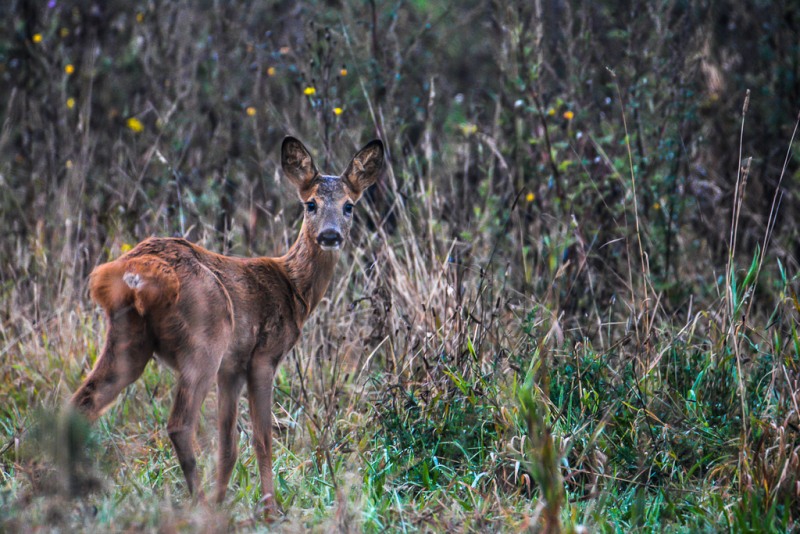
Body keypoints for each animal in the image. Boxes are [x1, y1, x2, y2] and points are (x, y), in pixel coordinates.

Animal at [70, 137, 382, 516]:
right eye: (311, 204)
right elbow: (262, 437)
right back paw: (199, 503)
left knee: (82, 403)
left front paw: (225, 502)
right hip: (206, 339)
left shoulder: (231, 368)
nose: (331, 235)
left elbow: (228, 443)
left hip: (129, 340)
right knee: (179, 424)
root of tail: (134, 269)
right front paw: (269, 509)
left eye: (349, 206)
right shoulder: (263, 356)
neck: (292, 289)